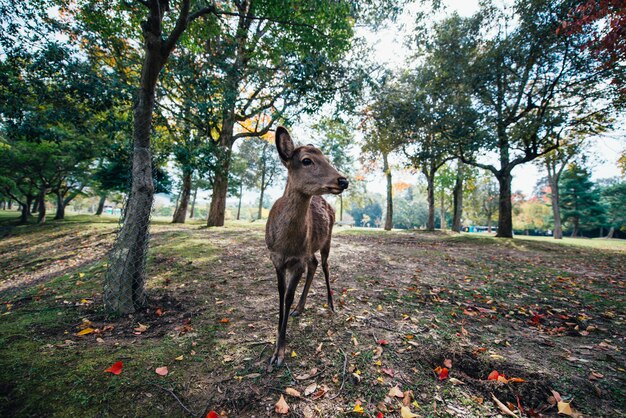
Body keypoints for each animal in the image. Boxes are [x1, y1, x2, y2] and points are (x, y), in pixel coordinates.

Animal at [266, 126, 348, 366]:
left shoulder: (297, 261)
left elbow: (288, 296)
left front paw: (279, 353)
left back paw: (331, 305)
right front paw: (276, 345)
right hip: (310, 249)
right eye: (306, 160)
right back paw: (299, 309)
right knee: (314, 264)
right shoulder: (276, 259)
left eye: (327, 158)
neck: (286, 244)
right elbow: (281, 295)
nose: (343, 181)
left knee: (325, 265)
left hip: (327, 239)